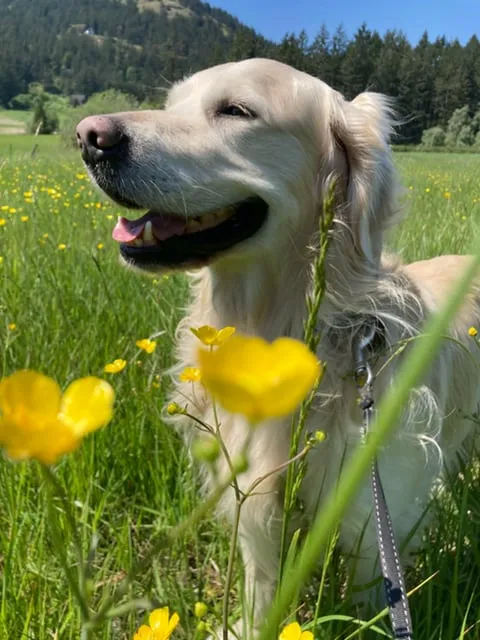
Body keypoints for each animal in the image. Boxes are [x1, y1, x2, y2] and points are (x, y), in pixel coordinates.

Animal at [77, 58, 478, 636]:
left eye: (235, 110)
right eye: (172, 103)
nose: (89, 137)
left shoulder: (375, 504)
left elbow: (372, 595)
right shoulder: (253, 495)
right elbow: (262, 583)